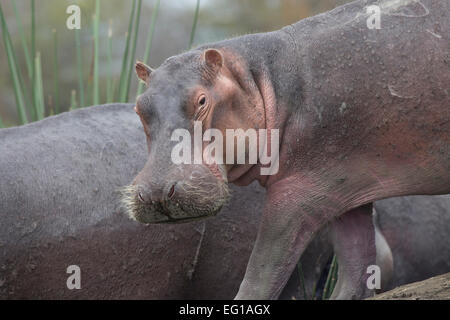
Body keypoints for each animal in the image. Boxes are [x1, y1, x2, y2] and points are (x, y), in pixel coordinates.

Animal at [126, 0, 450, 300]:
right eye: (139, 107)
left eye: (202, 100)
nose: (156, 191)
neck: (261, 82)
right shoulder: (346, 185)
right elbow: (356, 270)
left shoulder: (299, 191)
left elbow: (261, 272)